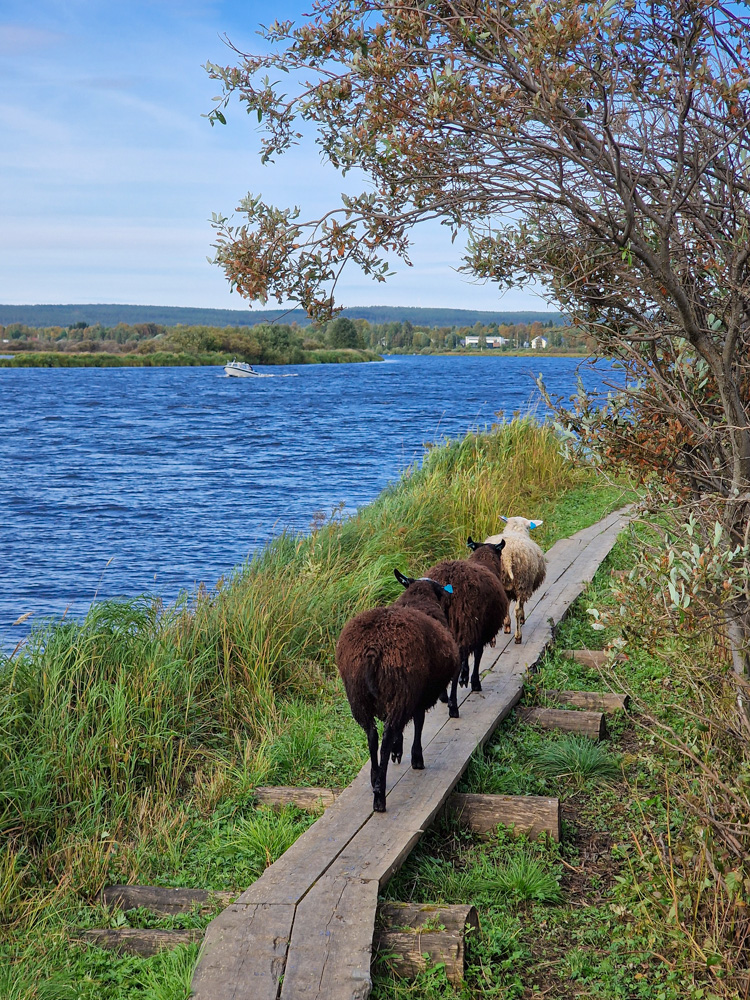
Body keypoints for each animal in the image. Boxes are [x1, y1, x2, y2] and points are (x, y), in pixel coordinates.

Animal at [338, 572, 462, 812]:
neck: (417, 599)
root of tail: (373, 649)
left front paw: (399, 751)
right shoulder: (419, 695)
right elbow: (419, 723)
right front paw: (416, 758)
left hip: (359, 697)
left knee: (373, 736)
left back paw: (375, 778)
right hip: (402, 690)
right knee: (386, 738)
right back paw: (380, 797)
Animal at [426, 540, 508, 720]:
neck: (483, 561)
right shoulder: (479, 630)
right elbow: (477, 655)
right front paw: (473, 681)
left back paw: (443, 696)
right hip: (464, 623)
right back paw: (453, 706)